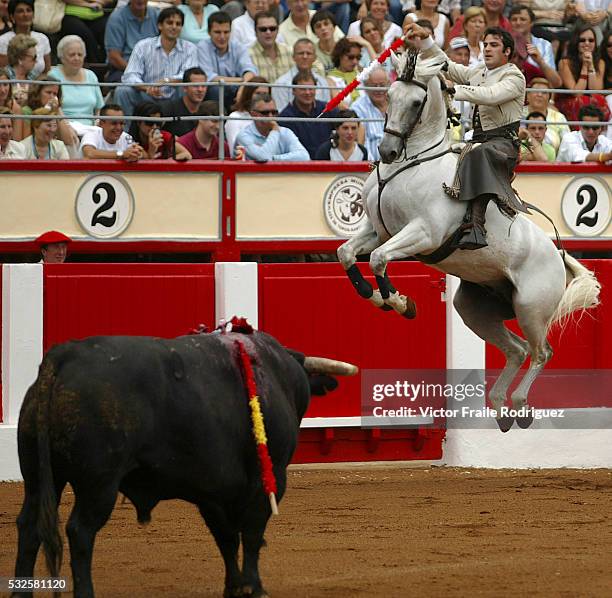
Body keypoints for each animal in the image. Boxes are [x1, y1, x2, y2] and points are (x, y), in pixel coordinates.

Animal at [13, 332, 354, 598]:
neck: (278, 373)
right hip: (99, 483)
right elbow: (252, 532)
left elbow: (226, 537)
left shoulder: (213, 490)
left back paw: (21, 591)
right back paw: (85, 591)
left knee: (29, 526)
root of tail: (65, 355)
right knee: (80, 531)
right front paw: (254, 587)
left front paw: (235, 586)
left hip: (39, 477)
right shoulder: (269, 479)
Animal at [338, 47, 600, 432]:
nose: (386, 151)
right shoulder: (378, 230)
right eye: (388, 96)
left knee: (541, 352)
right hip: (474, 308)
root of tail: (558, 256)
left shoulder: (423, 233)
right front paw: (376, 298)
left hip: (531, 308)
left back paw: (520, 407)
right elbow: (346, 253)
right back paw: (501, 409)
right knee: (517, 349)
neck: (411, 163)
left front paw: (400, 303)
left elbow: (379, 259)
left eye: (416, 102)